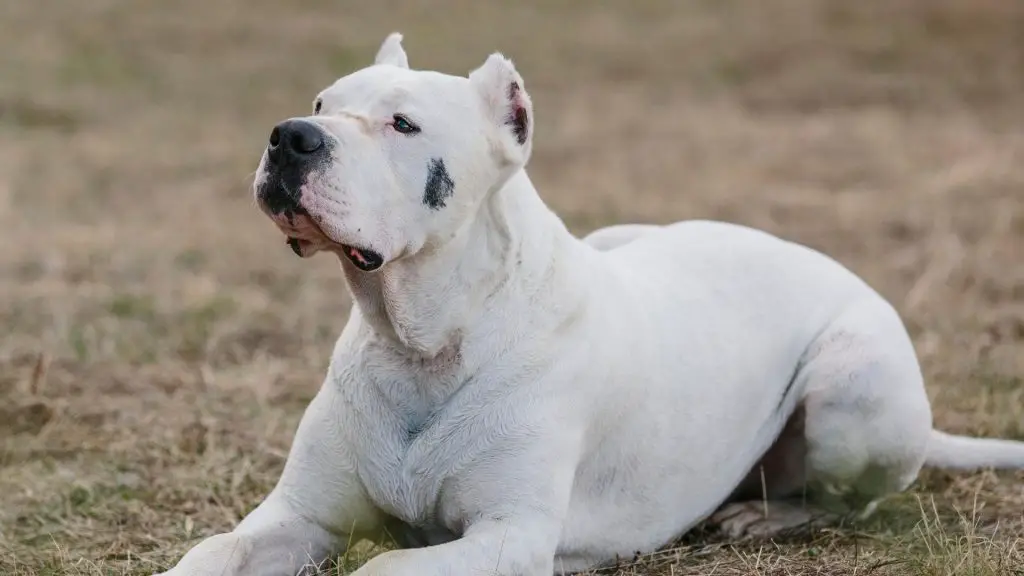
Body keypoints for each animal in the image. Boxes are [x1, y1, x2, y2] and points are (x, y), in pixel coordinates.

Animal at [155, 33, 1024, 569]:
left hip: (854, 386)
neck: (423, 339)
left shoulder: (508, 539)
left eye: (403, 124)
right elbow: (212, 551)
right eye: (321, 102)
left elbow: (386, 568)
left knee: (855, 501)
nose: (290, 137)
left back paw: (766, 515)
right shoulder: (295, 517)